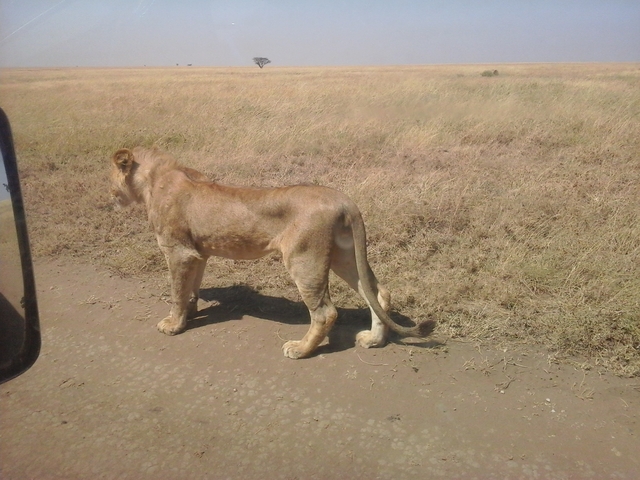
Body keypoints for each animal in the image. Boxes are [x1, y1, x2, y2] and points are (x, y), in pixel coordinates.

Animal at [110, 147, 434, 359]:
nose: (108, 194)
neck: (154, 180)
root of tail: (344, 200)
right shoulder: (198, 253)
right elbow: (191, 289)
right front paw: (190, 314)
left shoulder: (178, 251)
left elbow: (177, 291)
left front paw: (173, 325)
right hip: (344, 256)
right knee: (378, 293)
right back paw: (373, 340)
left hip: (304, 258)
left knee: (325, 312)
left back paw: (300, 350)